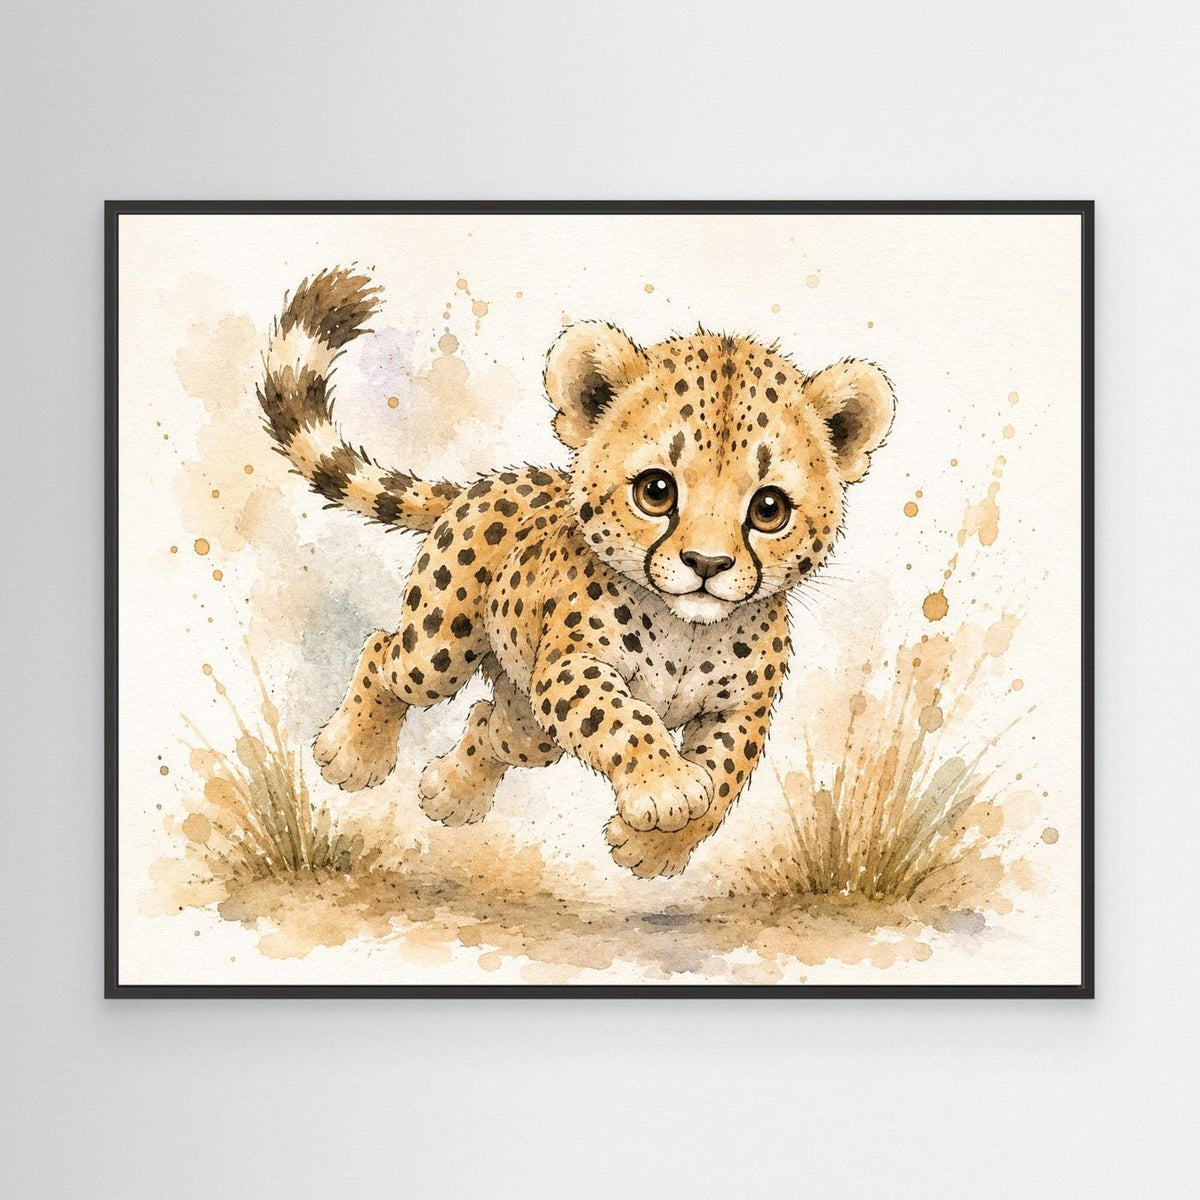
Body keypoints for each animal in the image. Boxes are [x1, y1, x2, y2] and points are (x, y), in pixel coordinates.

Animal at [256, 267, 895, 877]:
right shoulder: (572, 665)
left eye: (768, 509)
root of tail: (491, 482)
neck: (689, 630)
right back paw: (351, 752)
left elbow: (724, 773)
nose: (707, 565)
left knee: (493, 724)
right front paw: (665, 786)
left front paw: (654, 846)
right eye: (656, 491)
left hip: (530, 722)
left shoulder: (742, 710)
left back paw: (451, 794)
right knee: (386, 653)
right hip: (438, 648)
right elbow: (619, 714)